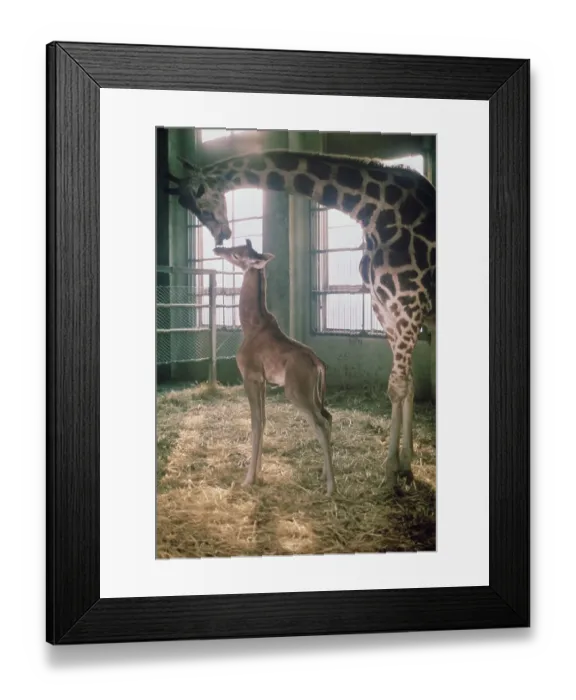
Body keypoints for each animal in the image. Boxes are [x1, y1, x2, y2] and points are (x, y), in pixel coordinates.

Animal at [212, 237, 335, 495]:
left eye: (237, 254)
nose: (218, 248)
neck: (250, 325)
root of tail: (318, 364)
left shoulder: (250, 377)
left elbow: (255, 423)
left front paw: (248, 478)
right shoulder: (264, 382)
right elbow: (264, 420)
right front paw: (258, 472)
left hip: (296, 393)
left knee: (320, 424)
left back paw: (331, 487)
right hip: (314, 395)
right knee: (327, 417)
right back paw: (323, 475)